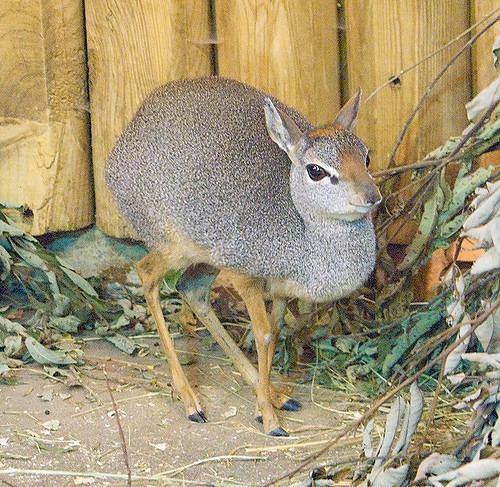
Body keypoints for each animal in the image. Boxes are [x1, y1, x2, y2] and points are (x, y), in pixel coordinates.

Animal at [104, 78, 378, 436]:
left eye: (366, 157)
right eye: (316, 170)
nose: (371, 196)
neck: (303, 236)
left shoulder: (279, 290)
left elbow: (274, 333)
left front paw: (269, 400)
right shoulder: (245, 278)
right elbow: (262, 335)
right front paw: (270, 419)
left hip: (205, 255)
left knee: (191, 290)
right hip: (174, 247)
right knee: (147, 273)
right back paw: (191, 401)